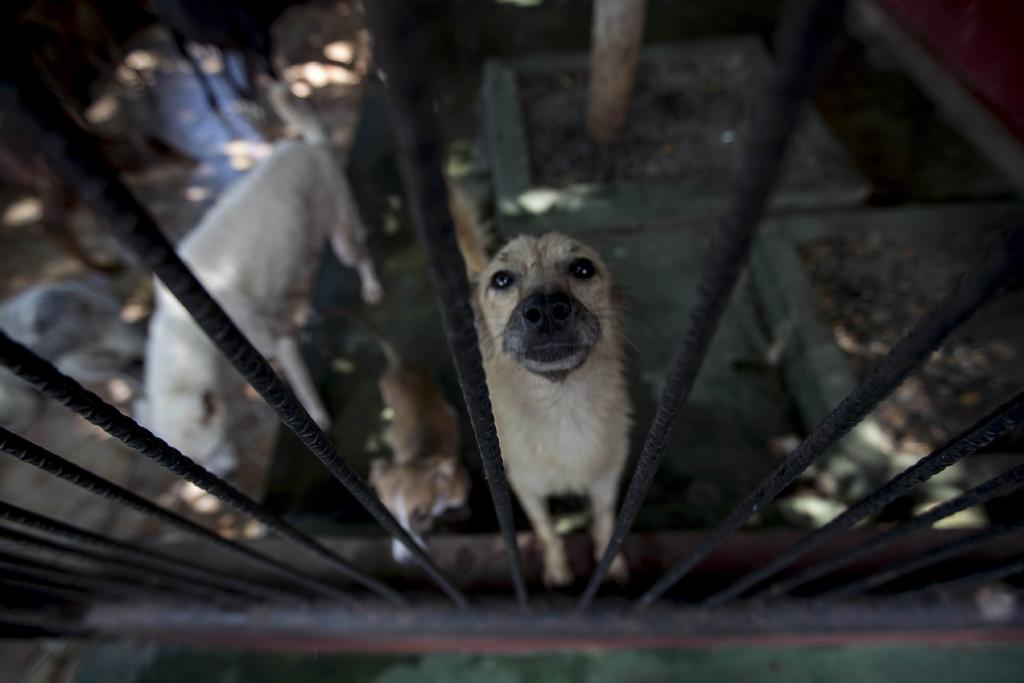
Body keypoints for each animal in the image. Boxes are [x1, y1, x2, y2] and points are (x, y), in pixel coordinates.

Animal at [142, 83, 382, 475]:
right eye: (192, 462)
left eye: (214, 450)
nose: (226, 476)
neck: (188, 329)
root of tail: (307, 144)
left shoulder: (277, 342)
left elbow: (304, 397)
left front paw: (319, 421)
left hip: (342, 235)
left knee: (361, 256)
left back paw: (371, 286)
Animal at [466, 229, 626, 589]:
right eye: (501, 279)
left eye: (583, 268)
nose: (547, 308)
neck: (561, 411)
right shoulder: (527, 490)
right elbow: (548, 532)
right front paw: (557, 569)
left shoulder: (607, 481)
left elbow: (605, 523)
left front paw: (611, 565)